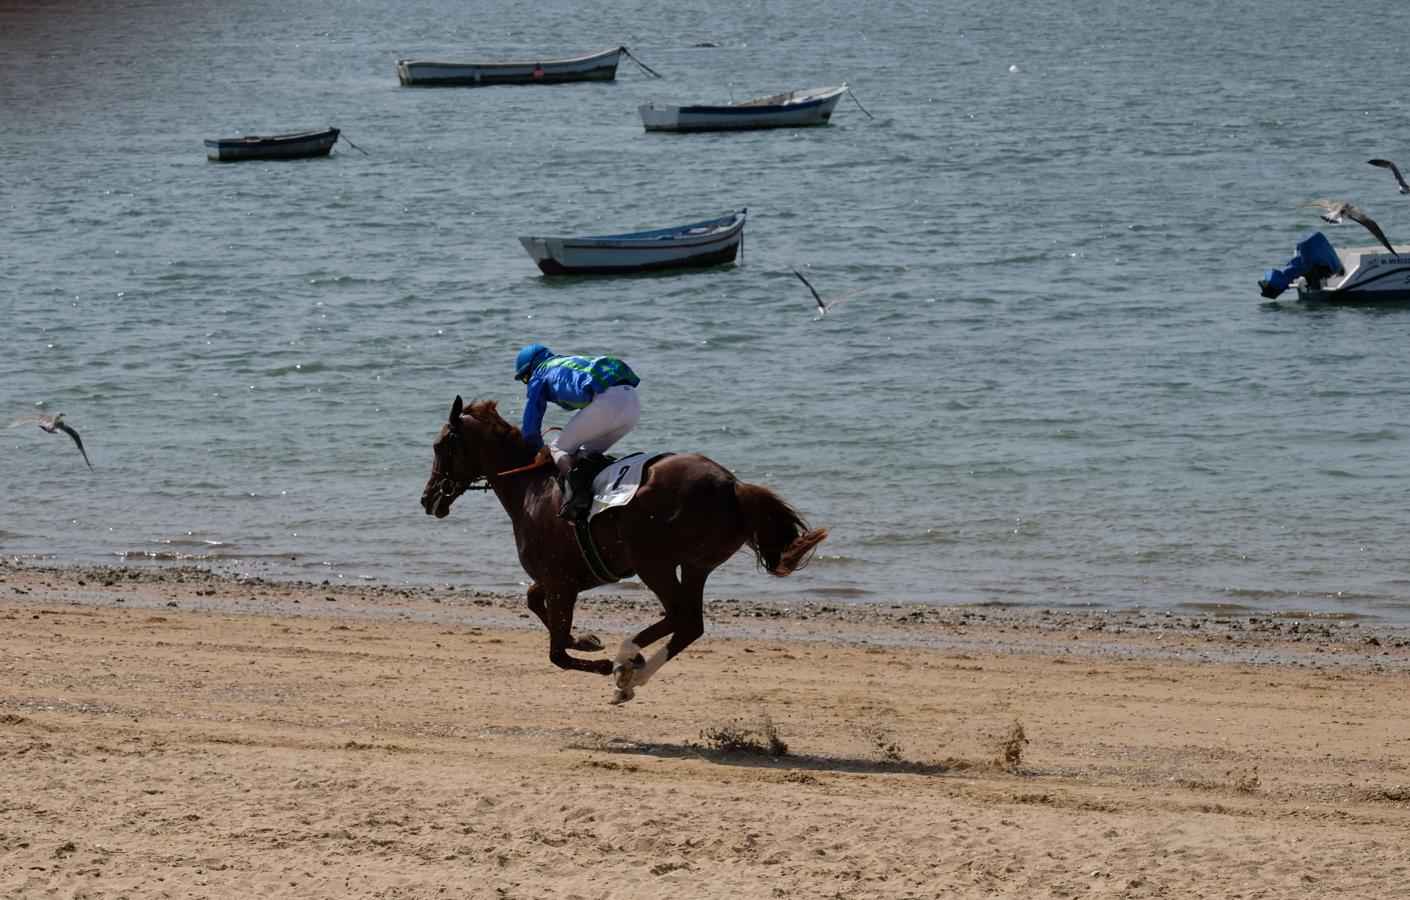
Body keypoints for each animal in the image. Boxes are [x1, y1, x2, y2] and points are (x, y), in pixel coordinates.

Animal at [417, 400, 823, 705]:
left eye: (439, 446)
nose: (427, 499)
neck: (530, 489)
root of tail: (735, 486)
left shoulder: (560, 582)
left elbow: (557, 654)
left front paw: (597, 658)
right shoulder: (564, 578)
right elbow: (535, 604)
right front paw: (585, 639)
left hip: (654, 563)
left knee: (680, 615)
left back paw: (625, 660)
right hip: (696, 564)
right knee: (691, 623)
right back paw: (631, 673)